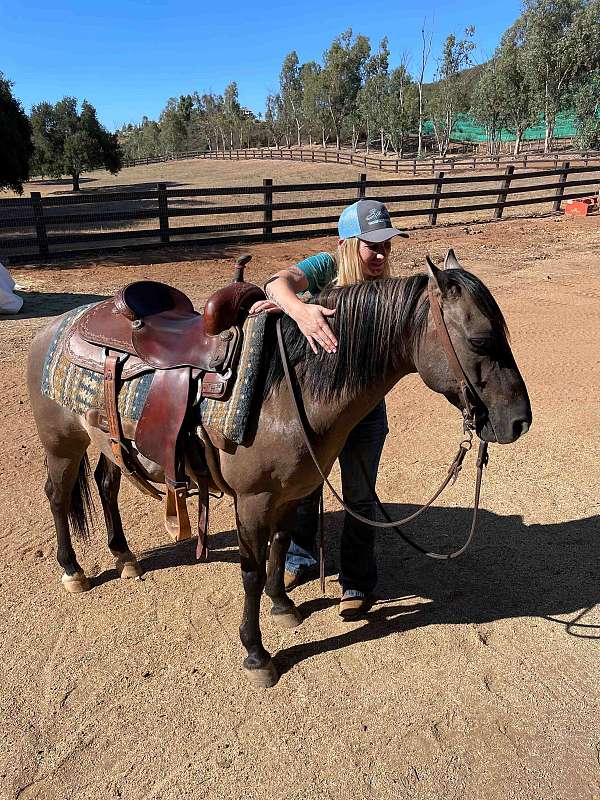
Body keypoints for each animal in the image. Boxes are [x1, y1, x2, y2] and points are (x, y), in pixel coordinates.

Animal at [25, 252, 532, 688]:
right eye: (481, 339)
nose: (519, 422)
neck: (287, 388)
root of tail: (59, 323)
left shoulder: (293, 492)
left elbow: (282, 545)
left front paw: (284, 605)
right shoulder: (253, 501)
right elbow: (250, 569)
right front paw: (256, 653)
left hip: (109, 442)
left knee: (106, 486)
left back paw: (124, 557)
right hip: (62, 444)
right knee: (57, 496)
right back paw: (73, 571)